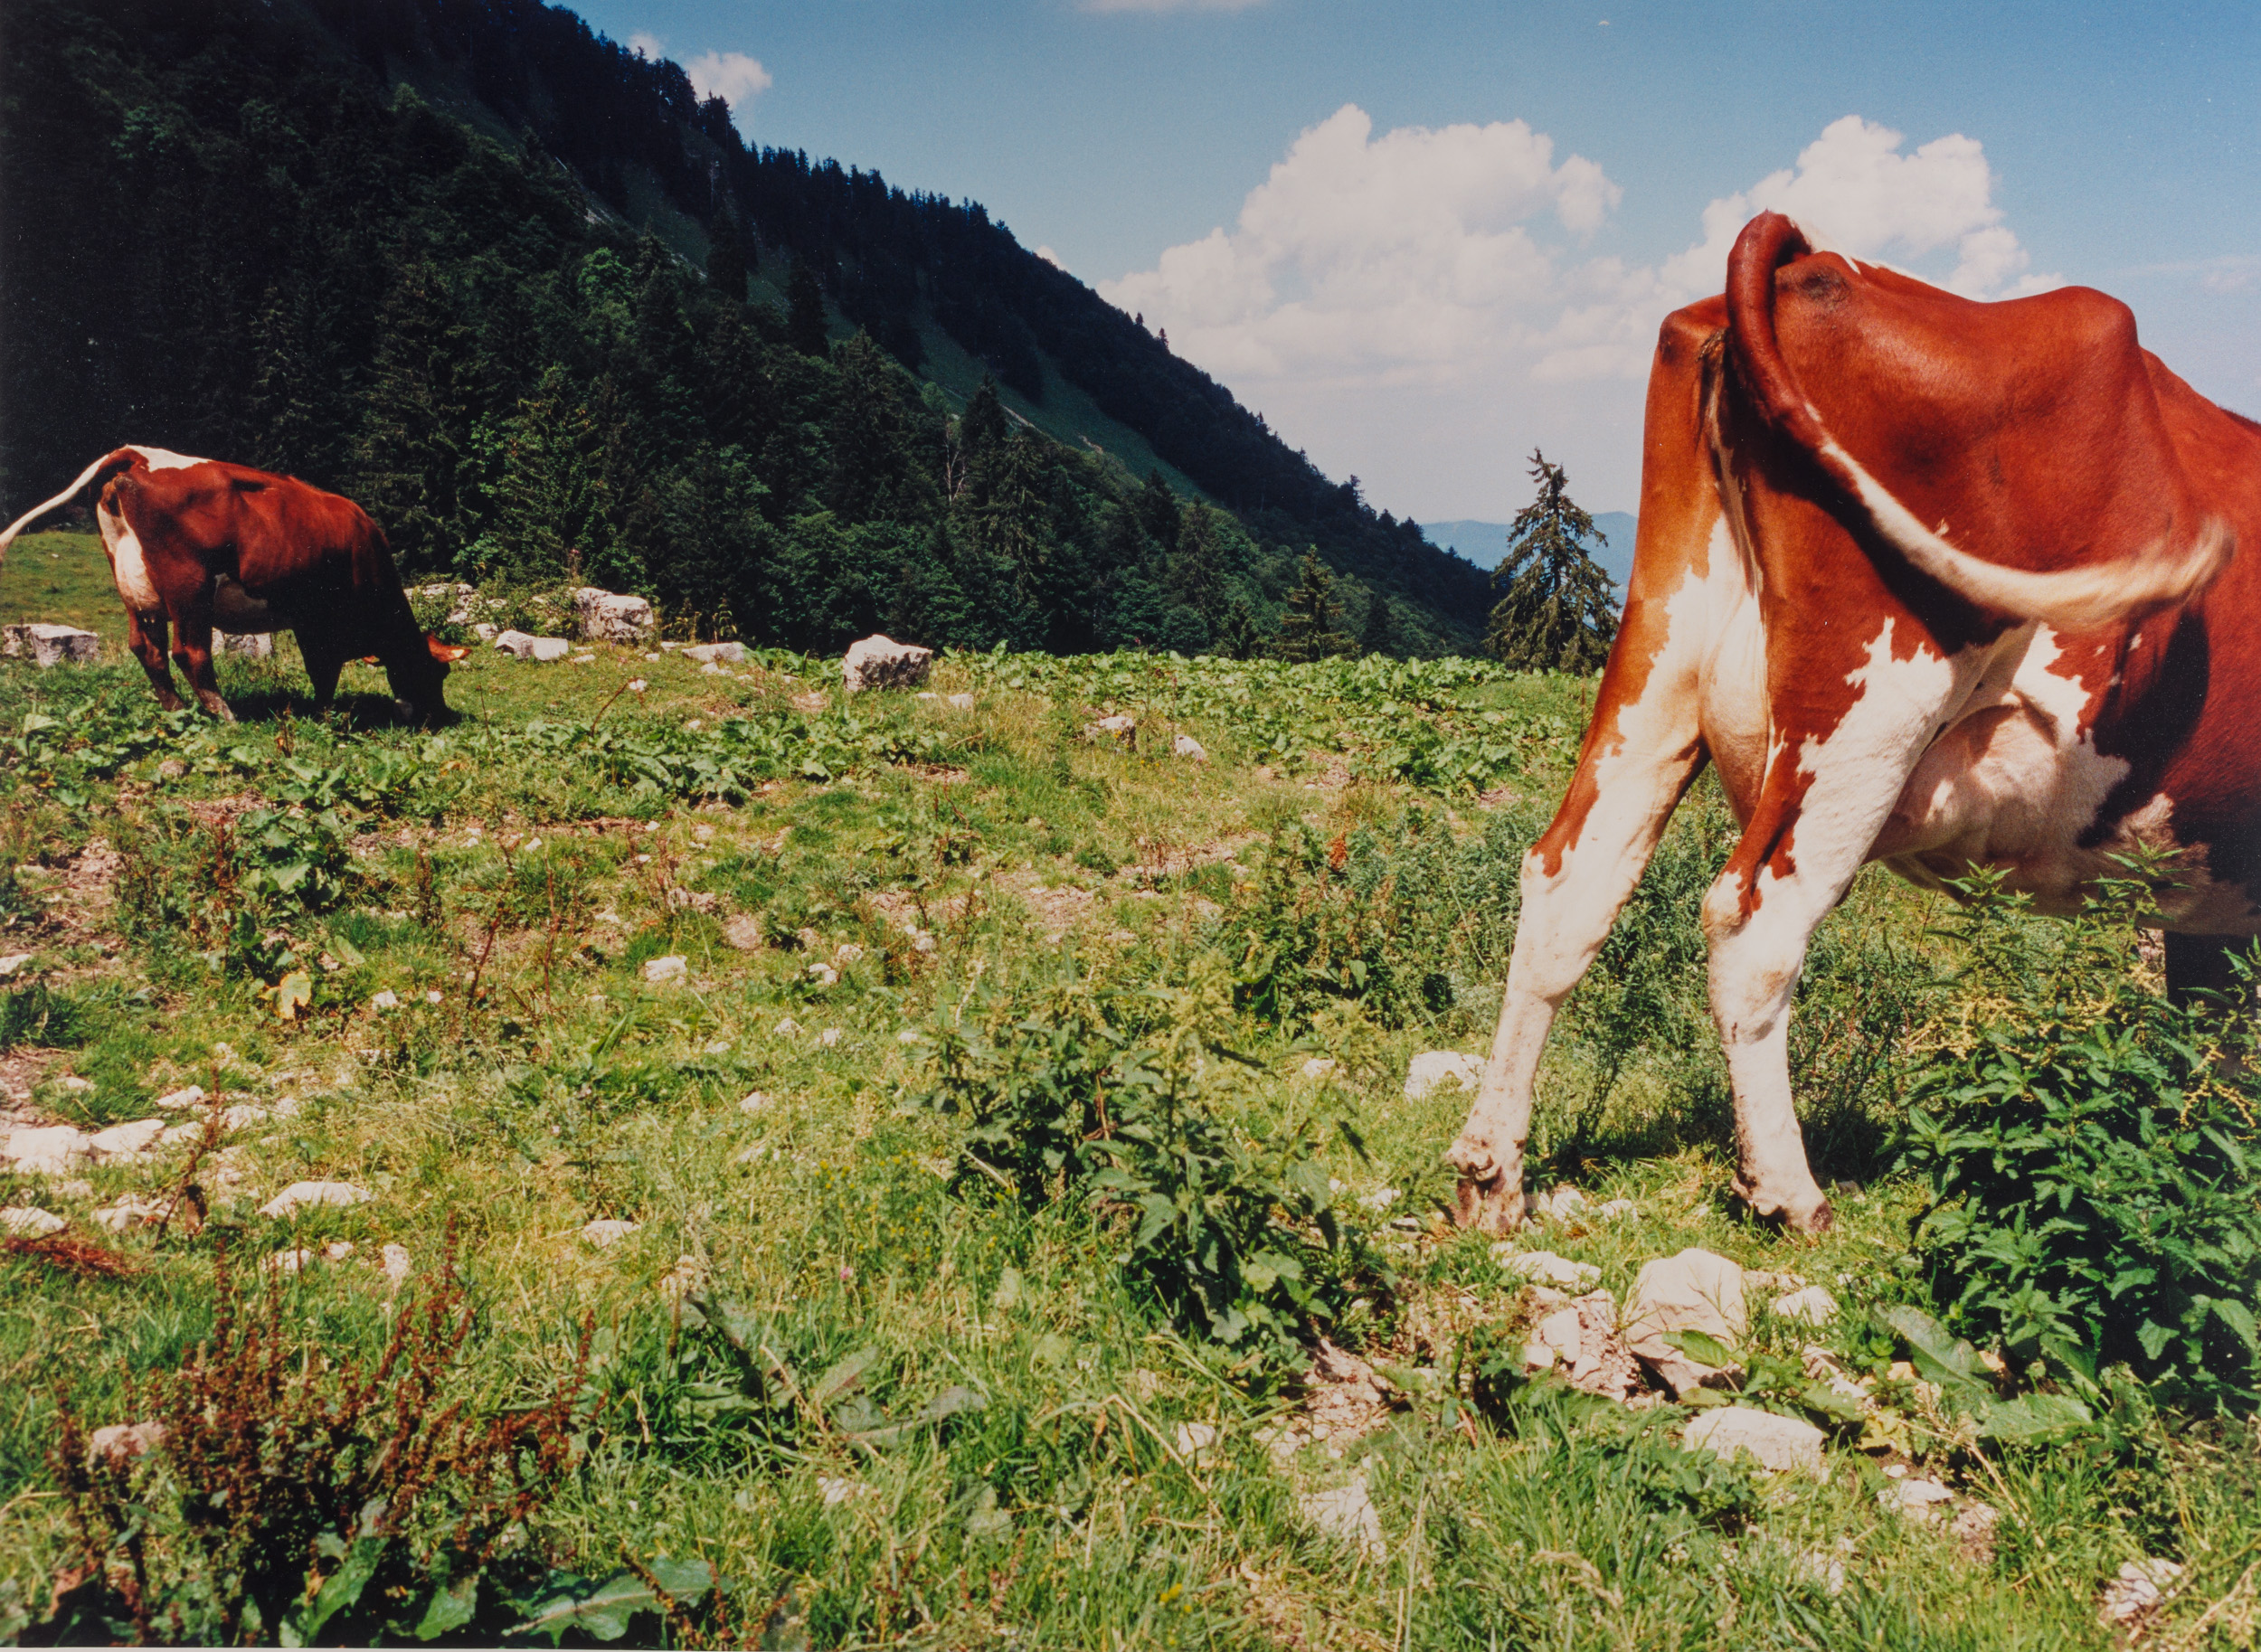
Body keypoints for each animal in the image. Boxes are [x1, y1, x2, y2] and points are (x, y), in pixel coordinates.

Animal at [0, 446, 451, 723]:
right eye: (437, 673)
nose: (440, 715)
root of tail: (140, 456)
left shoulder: (306, 619)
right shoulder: (321, 618)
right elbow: (325, 667)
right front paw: (328, 713)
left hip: (135, 589)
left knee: (148, 649)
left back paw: (177, 710)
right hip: (189, 587)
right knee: (190, 652)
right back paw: (226, 715)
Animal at [1446, 211, 2253, 1237]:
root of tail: (1808, 254)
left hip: (1658, 665)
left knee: (1570, 880)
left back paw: (1491, 1171)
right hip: (1867, 710)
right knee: (1753, 920)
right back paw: (1790, 1192)